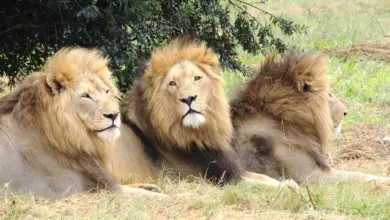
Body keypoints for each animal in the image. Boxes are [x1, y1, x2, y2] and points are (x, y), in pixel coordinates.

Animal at [0, 46, 165, 199]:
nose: (114, 115)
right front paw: (165, 196)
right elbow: (143, 195)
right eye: (86, 96)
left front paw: (151, 187)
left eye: (106, 91)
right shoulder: (79, 190)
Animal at [111, 36, 298, 189]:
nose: (189, 99)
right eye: (172, 83)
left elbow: (264, 177)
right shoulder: (217, 179)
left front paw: (290, 183)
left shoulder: (230, 169)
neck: (198, 133)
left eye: (197, 78)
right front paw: (287, 187)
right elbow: (261, 184)